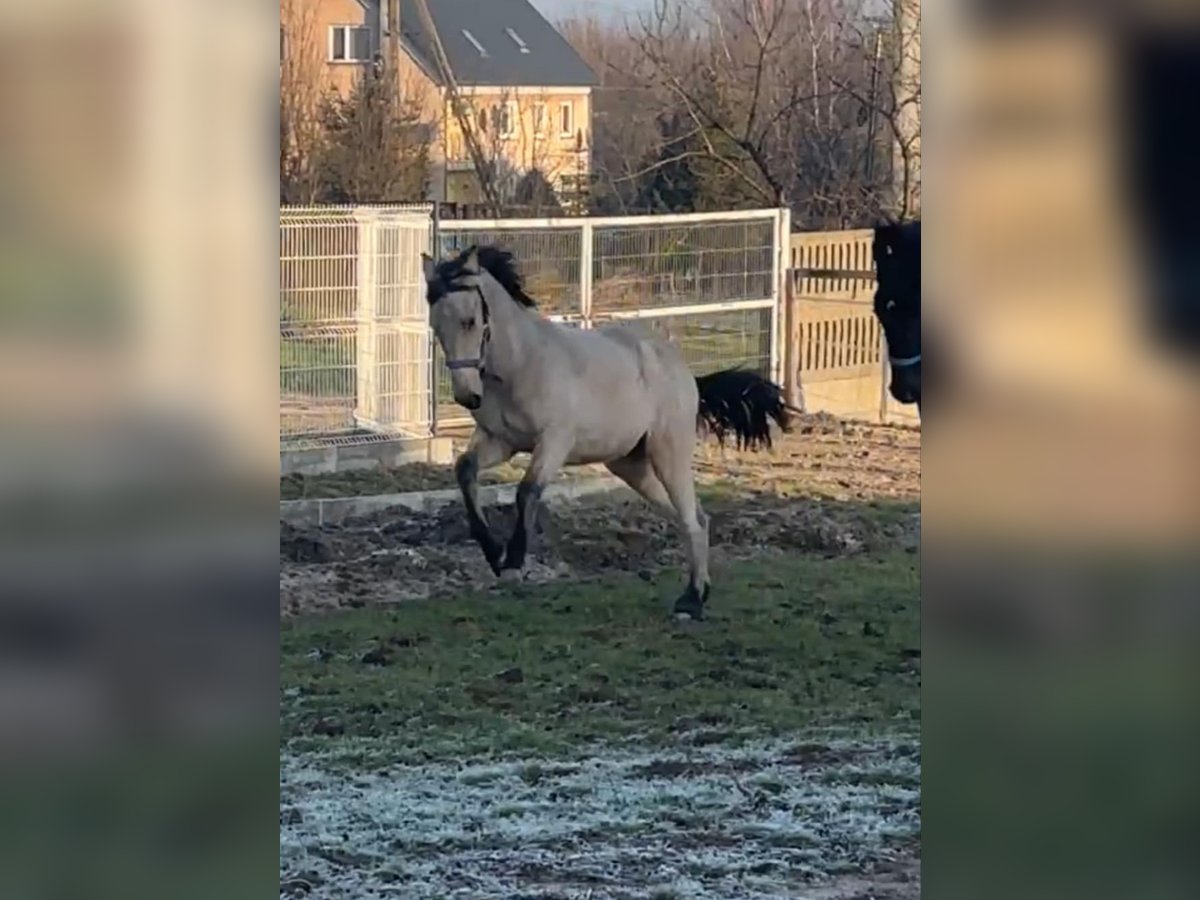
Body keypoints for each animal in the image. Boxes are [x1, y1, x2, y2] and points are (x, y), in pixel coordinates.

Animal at [427, 250, 792, 624]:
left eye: (470, 321)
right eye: (436, 327)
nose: (467, 396)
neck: (521, 365)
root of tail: (687, 374)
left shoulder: (555, 441)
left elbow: (527, 491)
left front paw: (512, 561)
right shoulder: (500, 442)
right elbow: (465, 470)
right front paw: (492, 551)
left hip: (668, 454)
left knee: (692, 520)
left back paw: (691, 600)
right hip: (630, 465)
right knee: (691, 518)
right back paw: (697, 594)